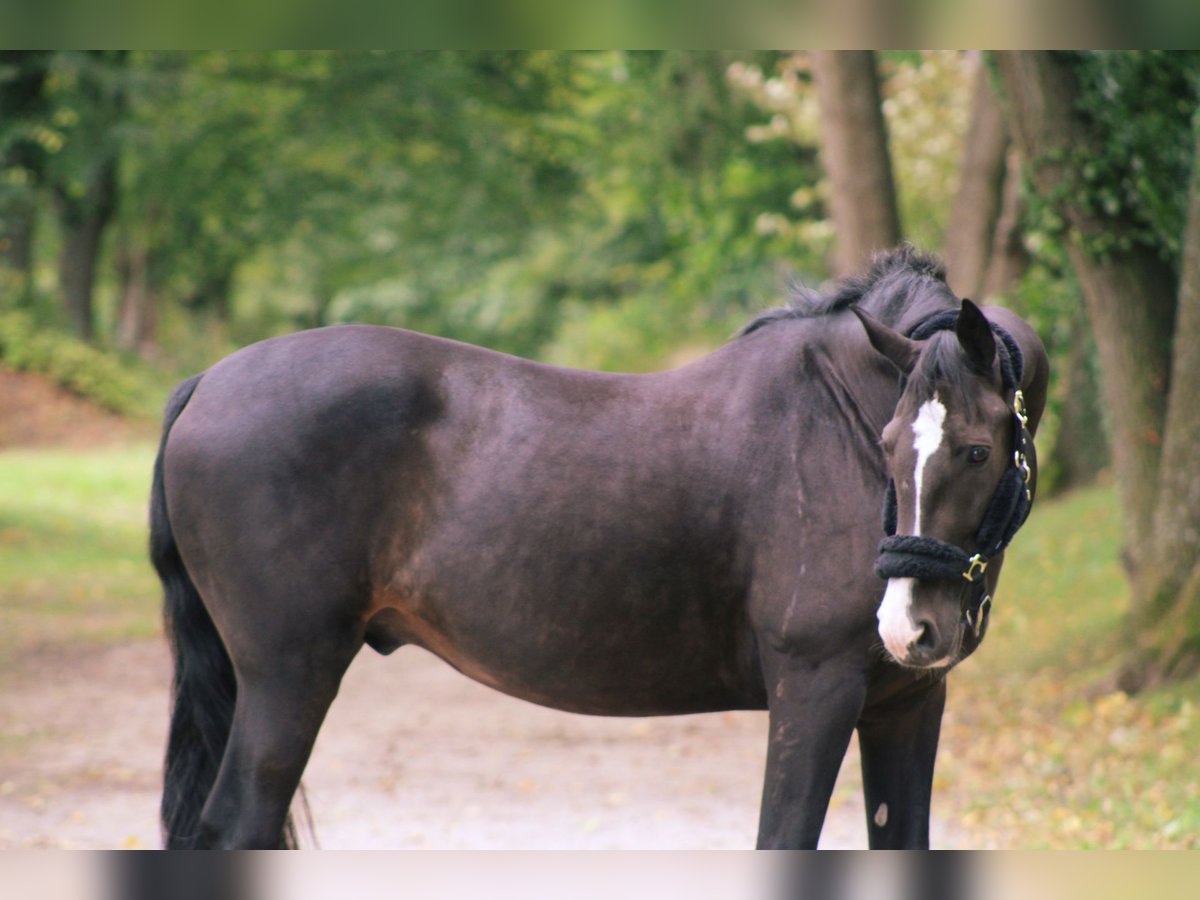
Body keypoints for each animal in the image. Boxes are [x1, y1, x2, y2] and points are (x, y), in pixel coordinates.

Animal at [154, 248, 1046, 854]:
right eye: (889, 443)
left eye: (974, 451)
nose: (909, 627)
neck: (827, 422)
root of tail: (205, 383)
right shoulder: (814, 689)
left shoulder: (907, 704)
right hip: (288, 674)